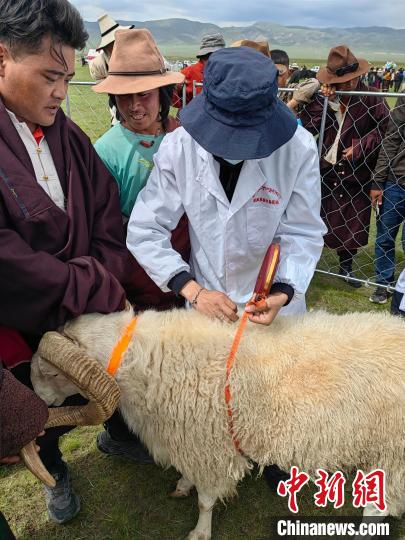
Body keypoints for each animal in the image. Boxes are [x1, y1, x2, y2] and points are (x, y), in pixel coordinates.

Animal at [30, 306, 404, 536]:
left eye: (52, 372)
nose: (38, 401)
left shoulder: (210, 447)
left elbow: (206, 499)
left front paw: (199, 532)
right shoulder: (188, 441)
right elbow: (188, 479)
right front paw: (183, 484)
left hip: (393, 451)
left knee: (378, 509)